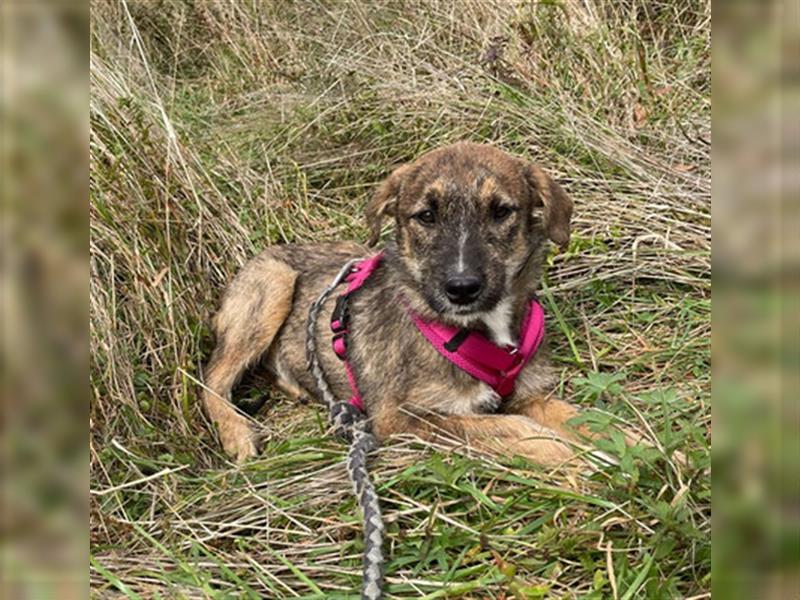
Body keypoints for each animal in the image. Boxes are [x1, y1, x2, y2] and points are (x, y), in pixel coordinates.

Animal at [202, 142, 612, 464]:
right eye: (426, 216)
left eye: (501, 211)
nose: (461, 288)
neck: (474, 328)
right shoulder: (399, 418)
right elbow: (509, 428)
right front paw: (573, 461)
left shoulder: (530, 393)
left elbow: (583, 419)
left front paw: (620, 443)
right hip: (272, 284)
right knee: (212, 378)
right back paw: (236, 433)